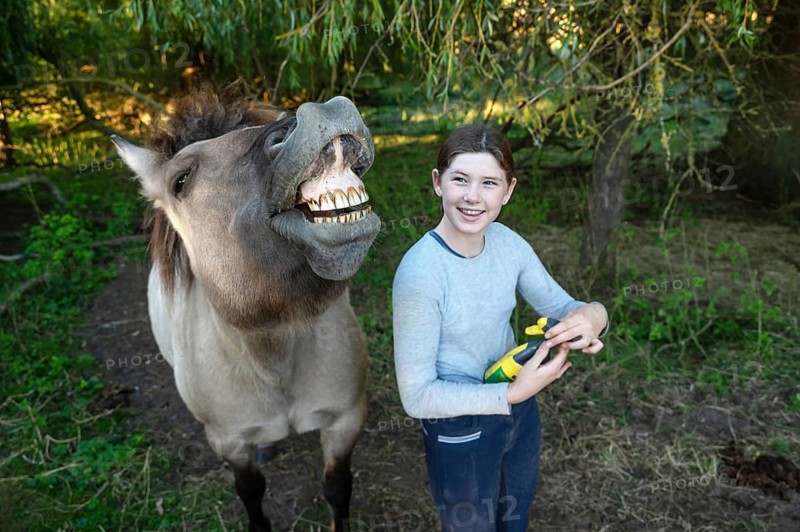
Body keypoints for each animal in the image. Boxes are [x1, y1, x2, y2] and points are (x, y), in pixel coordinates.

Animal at [111, 84, 380, 531]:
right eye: (180, 181)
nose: (322, 114)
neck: (272, 356)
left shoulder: (345, 421)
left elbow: (337, 490)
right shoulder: (229, 442)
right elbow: (251, 494)